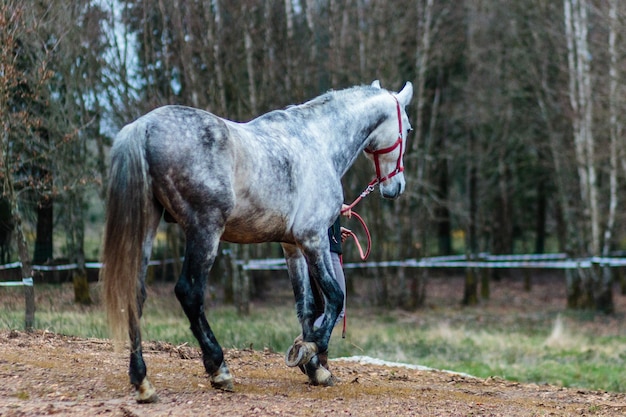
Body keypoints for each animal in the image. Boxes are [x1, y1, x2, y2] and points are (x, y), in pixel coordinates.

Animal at [100, 79, 412, 402]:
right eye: (409, 128)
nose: (396, 187)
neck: (318, 141)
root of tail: (144, 126)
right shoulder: (314, 239)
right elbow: (335, 297)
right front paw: (311, 348)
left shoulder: (292, 247)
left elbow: (307, 306)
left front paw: (314, 368)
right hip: (205, 230)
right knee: (189, 293)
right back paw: (218, 369)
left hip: (148, 226)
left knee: (135, 294)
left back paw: (142, 380)